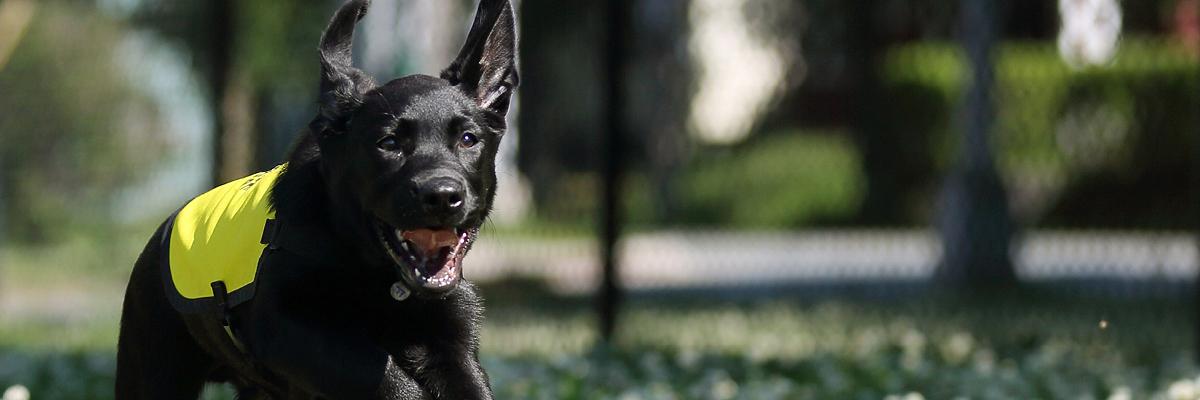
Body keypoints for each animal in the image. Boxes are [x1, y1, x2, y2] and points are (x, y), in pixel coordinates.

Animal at [114, 0, 518, 396]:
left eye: (468, 139)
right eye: (388, 143)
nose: (442, 196)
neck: (378, 275)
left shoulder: (451, 344)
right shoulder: (287, 329)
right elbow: (386, 375)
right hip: (154, 369)